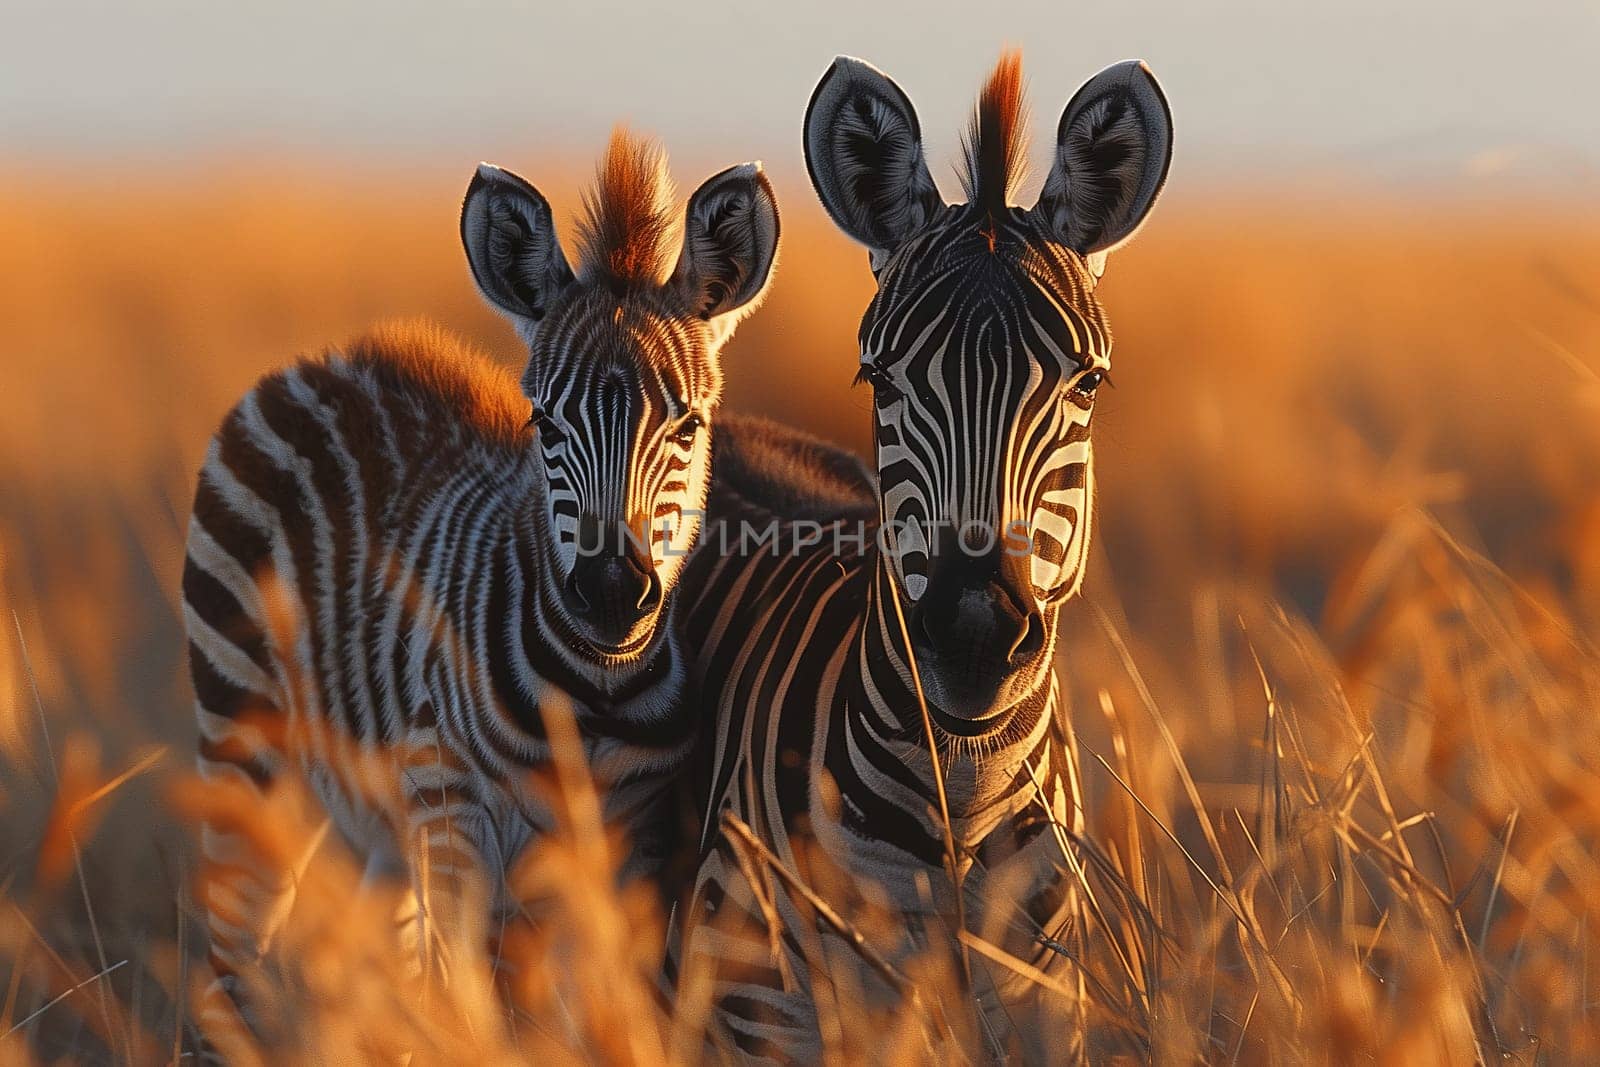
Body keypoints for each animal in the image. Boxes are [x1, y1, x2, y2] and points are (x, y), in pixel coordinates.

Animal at [181, 129, 780, 1055]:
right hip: (248, 741)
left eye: (689, 425)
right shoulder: (455, 813)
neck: (591, 695)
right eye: (545, 424)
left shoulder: (629, 846)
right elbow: (467, 1006)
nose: (611, 592)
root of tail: (325, 358)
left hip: (383, 821)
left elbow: (587, 1016)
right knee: (232, 959)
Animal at [675, 51, 1177, 1062]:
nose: (973, 636)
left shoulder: (1046, 1010)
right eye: (879, 378)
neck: (960, 807)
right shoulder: (755, 1013)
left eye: (1088, 384)